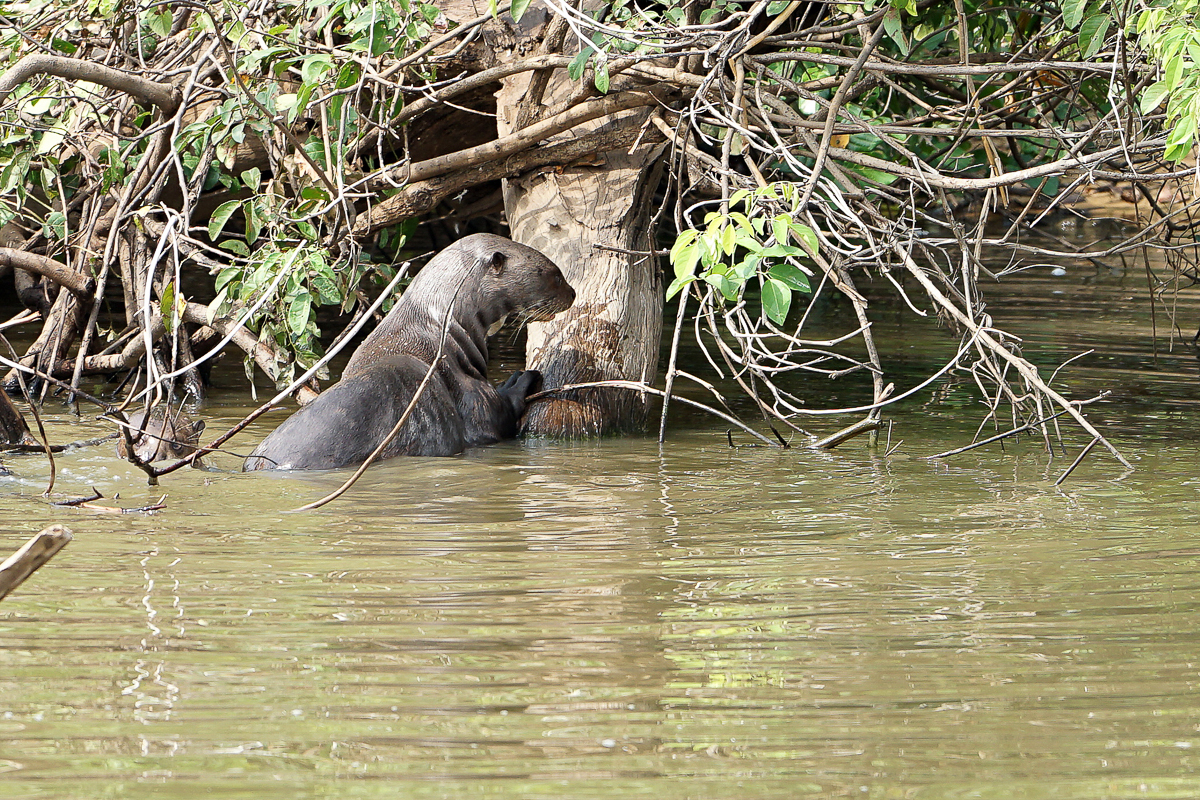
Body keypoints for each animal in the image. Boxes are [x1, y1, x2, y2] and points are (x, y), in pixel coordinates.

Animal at [242, 231, 571, 470]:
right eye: (554, 273)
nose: (573, 292)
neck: (443, 329)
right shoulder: (470, 397)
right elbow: (497, 417)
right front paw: (520, 379)